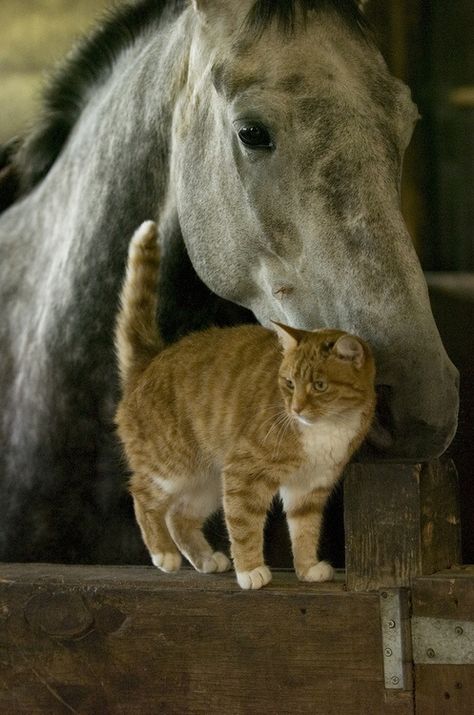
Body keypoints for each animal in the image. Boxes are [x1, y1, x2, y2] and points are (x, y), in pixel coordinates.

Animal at [115, 221, 378, 592]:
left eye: (319, 386)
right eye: (289, 384)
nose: (296, 409)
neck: (326, 429)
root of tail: (149, 361)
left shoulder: (310, 487)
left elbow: (305, 531)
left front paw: (308, 568)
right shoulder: (244, 474)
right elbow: (244, 528)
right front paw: (251, 570)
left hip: (208, 481)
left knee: (180, 515)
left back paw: (206, 559)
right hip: (172, 466)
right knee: (143, 496)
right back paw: (163, 554)